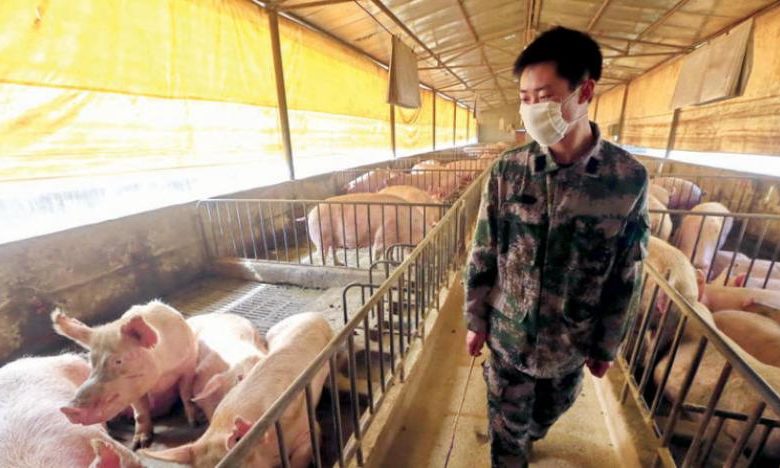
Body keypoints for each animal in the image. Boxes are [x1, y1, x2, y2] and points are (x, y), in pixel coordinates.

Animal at [52, 300, 199, 448]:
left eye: (118, 361)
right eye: (91, 362)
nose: (67, 408)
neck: (161, 374)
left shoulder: (189, 363)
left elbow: (186, 395)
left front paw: (195, 424)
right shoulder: (132, 391)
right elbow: (140, 413)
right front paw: (139, 444)